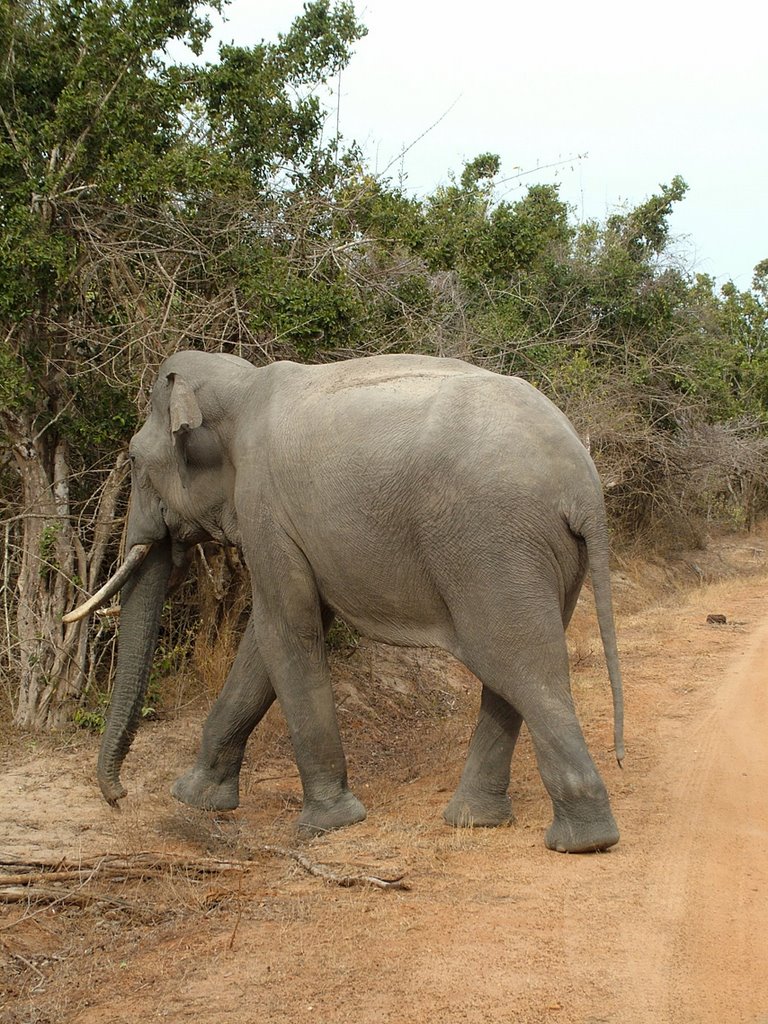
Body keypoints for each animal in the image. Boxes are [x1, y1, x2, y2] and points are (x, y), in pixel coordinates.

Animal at [67, 352, 626, 856]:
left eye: (134, 460)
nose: (117, 797)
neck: (242, 384)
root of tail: (584, 485)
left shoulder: (264, 506)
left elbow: (285, 630)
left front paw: (325, 825)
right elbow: (266, 642)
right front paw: (194, 799)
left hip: (494, 543)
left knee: (520, 666)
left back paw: (582, 842)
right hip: (544, 555)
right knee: (515, 668)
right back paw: (474, 821)